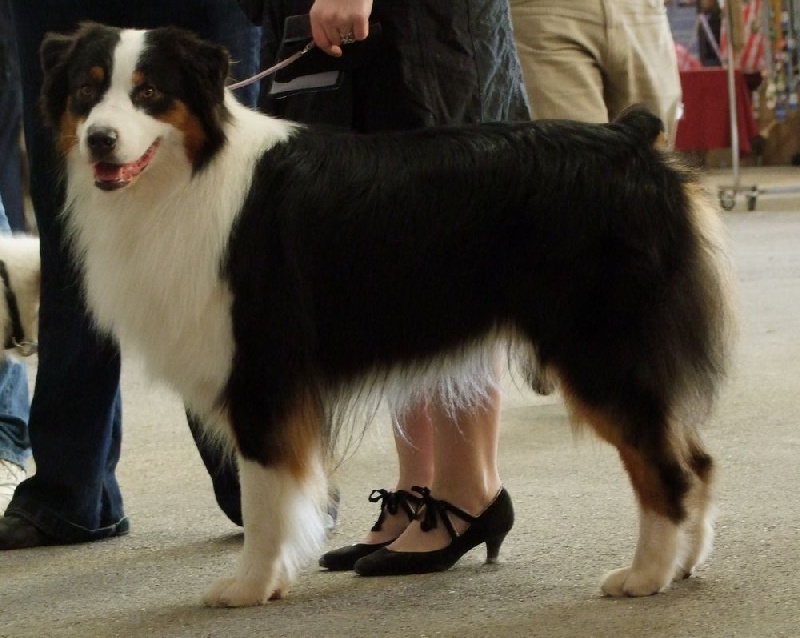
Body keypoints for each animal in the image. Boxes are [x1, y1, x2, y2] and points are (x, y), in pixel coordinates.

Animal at [40, 22, 736, 608]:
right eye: (86, 91)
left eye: (150, 93)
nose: (101, 138)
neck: (188, 174)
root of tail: (628, 135)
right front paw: (275, 577)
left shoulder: (262, 367)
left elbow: (264, 497)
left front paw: (249, 586)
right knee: (697, 456)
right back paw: (685, 563)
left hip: (600, 344)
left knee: (665, 466)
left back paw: (645, 575)